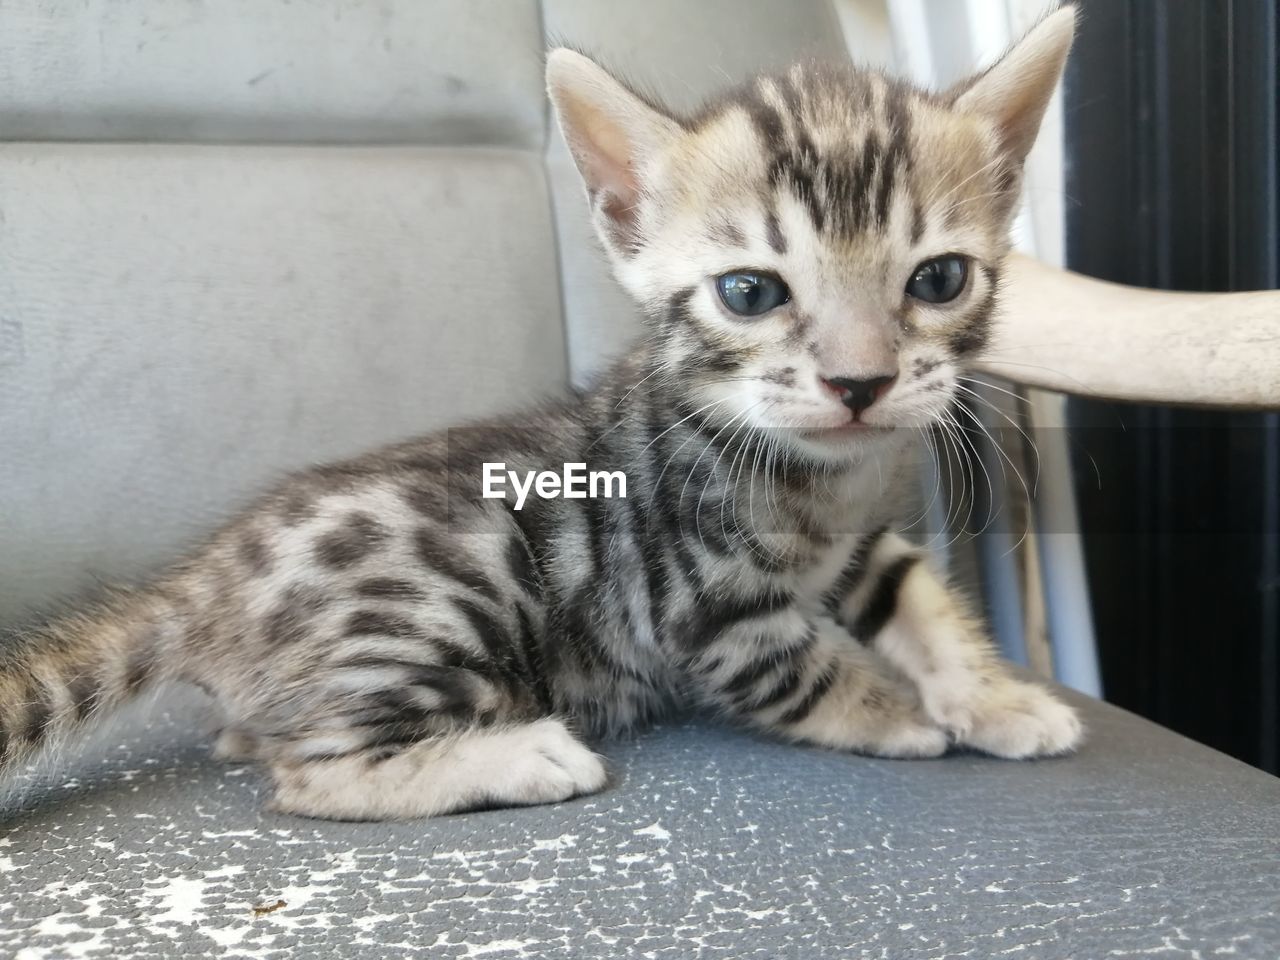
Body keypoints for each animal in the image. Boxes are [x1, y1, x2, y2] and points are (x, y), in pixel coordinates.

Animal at [0, 7, 1080, 824]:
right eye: (749, 292)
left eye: (937, 280)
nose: (859, 383)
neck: (813, 479)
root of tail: (204, 583)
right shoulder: (700, 605)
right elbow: (806, 670)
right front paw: (904, 719)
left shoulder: (860, 544)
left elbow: (920, 599)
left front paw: (994, 698)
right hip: (448, 586)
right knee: (308, 772)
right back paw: (517, 756)